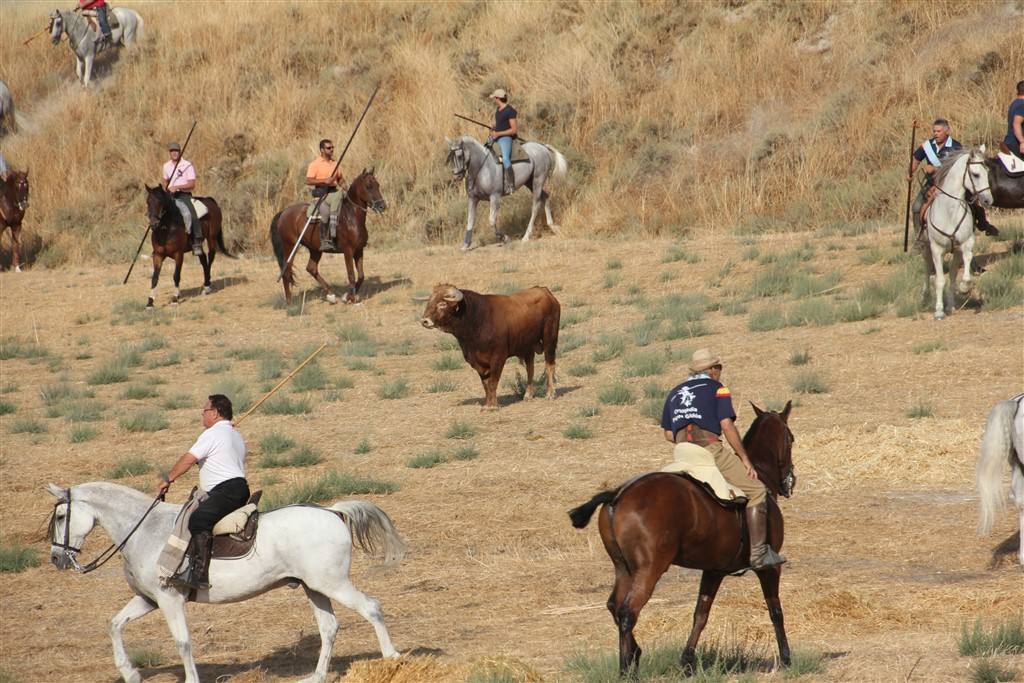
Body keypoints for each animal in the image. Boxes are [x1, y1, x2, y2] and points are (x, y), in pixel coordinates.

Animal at [270, 166, 385, 305]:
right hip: (290, 247)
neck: (351, 216)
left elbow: (361, 276)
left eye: (377, 185)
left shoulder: (359, 250)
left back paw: (330, 295)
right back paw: (289, 302)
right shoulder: (348, 251)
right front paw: (351, 298)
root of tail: (283, 212)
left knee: (311, 268)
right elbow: (351, 275)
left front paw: (348, 296)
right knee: (286, 271)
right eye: (368, 186)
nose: (382, 206)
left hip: (315, 249)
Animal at [419, 282, 561, 405]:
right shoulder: (477, 362)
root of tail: (546, 292)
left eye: (442, 304)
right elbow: (486, 384)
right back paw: (528, 395)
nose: (424, 321)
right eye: (429, 301)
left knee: (549, 364)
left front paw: (492, 406)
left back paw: (550, 393)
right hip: (528, 347)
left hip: (550, 339)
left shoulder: (498, 357)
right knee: (530, 368)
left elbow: (493, 381)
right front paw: (488, 404)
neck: (477, 319)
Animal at [569, 403, 798, 675]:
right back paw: (627, 669)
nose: (790, 482)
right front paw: (786, 657)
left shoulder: (713, 571)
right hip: (650, 570)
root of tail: (618, 494)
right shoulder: (769, 569)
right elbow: (775, 610)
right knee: (627, 612)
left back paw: (634, 654)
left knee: (615, 607)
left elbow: (701, 614)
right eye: (791, 438)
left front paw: (687, 661)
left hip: (623, 568)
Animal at [921, 147, 991, 321]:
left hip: (955, 253)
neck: (950, 211)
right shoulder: (936, 249)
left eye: (987, 172)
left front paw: (964, 288)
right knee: (927, 269)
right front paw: (939, 311)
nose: (988, 200)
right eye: (976, 174)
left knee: (952, 276)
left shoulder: (965, 244)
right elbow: (939, 280)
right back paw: (925, 296)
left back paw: (951, 305)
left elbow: (962, 272)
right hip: (925, 248)